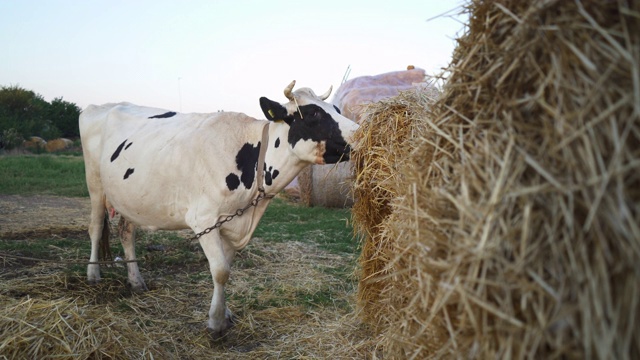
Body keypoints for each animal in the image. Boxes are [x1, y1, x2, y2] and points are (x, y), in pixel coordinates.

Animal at [79, 81, 358, 338]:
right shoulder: (203, 220)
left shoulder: (232, 223)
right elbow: (221, 270)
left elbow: (226, 268)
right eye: (313, 114)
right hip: (95, 184)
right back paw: (93, 274)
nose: (361, 132)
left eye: (336, 109)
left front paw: (224, 313)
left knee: (127, 232)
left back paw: (136, 281)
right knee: (95, 227)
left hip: (129, 199)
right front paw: (215, 323)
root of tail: (100, 106)